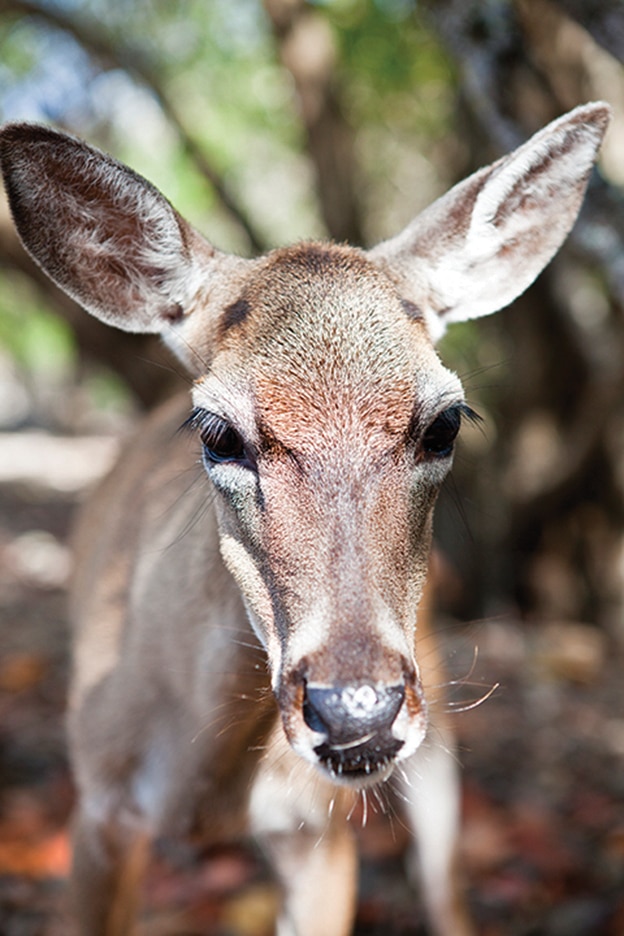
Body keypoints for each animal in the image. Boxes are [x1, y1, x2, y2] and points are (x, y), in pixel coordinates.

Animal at [0, 102, 608, 936]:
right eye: (217, 432)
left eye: (445, 422)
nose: (355, 712)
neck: (203, 785)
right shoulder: (97, 807)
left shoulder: (319, 825)